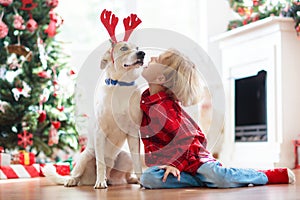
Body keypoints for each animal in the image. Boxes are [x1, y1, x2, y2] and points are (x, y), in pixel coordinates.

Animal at [42, 8, 145, 188]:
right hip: (86, 156)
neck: (121, 85)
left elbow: (138, 160)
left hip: (123, 156)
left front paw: (142, 180)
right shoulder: (99, 133)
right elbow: (101, 163)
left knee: (124, 175)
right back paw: (75, 180)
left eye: (137, 47)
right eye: (124, 48)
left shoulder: (133, 133)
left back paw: (127, 179)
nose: (142, 53)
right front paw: (100, 183)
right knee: (77, 172)